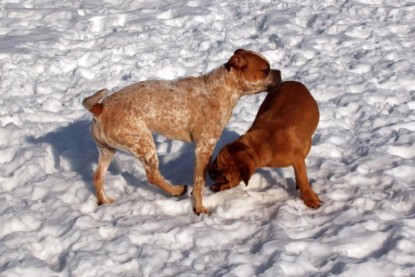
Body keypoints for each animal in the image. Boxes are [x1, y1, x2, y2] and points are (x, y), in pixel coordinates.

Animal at [82, 49, 282, 213]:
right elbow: (199, 182)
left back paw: (104, 201)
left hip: (108, 150)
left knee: (97, 176)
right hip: (144, 144)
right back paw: (176, 190)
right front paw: (199, 209)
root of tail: (100, 108)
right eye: (266, 69)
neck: (221, 89)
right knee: (152, 176)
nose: (279, 72)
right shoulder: (204, 148)